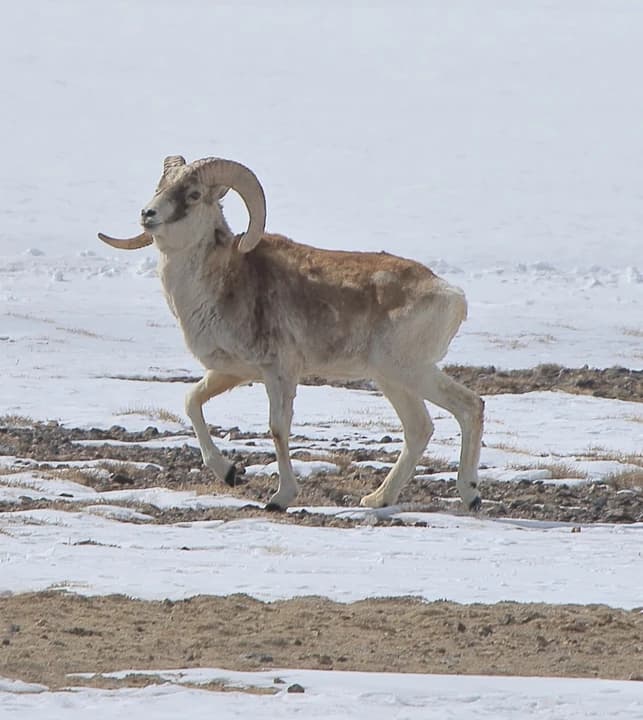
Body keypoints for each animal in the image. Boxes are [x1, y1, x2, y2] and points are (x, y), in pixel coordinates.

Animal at [99, 155, 484, 512]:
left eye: (192, 194)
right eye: (161, 186)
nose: (148, 214)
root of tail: (453, 295)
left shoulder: (279, 372)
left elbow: (277, 429)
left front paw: (279, 498)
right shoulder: (230, 373)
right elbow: (192, 402)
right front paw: (230, 473)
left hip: (407, 372)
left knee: (469, 406)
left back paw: (470, 495)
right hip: (392, 379)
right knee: (420, 428)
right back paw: (378, 499)